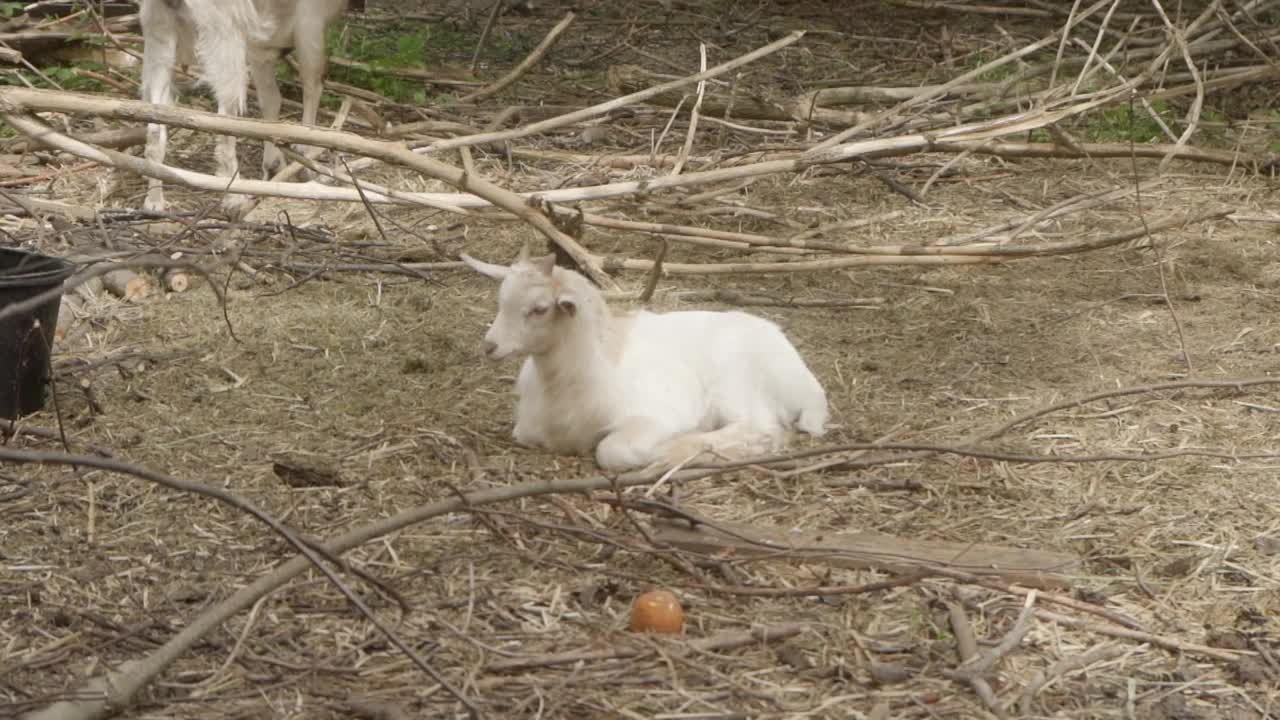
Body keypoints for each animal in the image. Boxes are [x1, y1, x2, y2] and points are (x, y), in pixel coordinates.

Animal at [460, 244, 829, 471]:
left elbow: (612, 450)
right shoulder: (527, 428)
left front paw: (668, 449)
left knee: (761, 427)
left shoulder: (654, 417)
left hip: (737, 388)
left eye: (539, 309)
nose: (489, 346)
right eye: (501, 300)